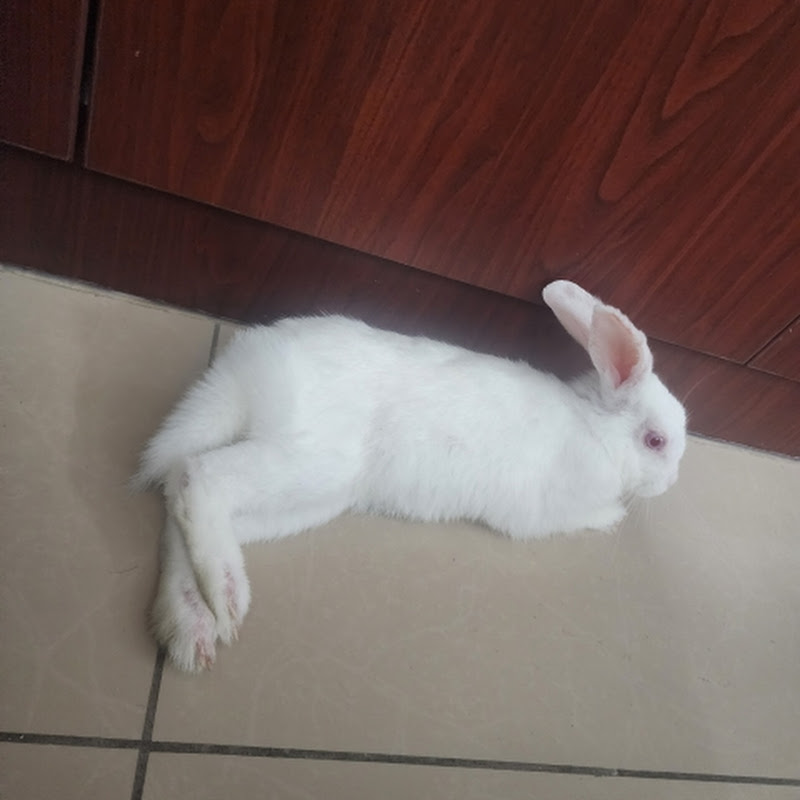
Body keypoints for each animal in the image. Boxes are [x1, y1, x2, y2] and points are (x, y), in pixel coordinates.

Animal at [135, 280, 687, 671]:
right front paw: (613, 516)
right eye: (656, 442)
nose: (671, 483)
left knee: (177, 507)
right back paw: (227, 600)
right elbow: (586, 515)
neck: (596, 429)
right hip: (306, 462)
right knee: (198, 477)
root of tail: (242, 376)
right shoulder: (541, 515)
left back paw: (191, 627)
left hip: (310, 499)